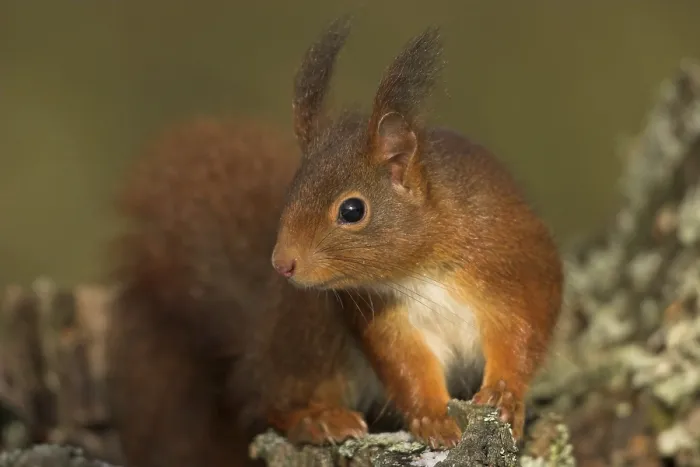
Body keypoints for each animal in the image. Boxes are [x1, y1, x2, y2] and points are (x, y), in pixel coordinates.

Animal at [270, 16, 564, 445]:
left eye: (352, 210)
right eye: (291, 191)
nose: (282, 263)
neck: (420, 269)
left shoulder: (514, 265)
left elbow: (523, 332)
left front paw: (504, 394)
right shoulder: (385, 318)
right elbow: (408, 368)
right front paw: (433, 417)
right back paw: (319, 419)